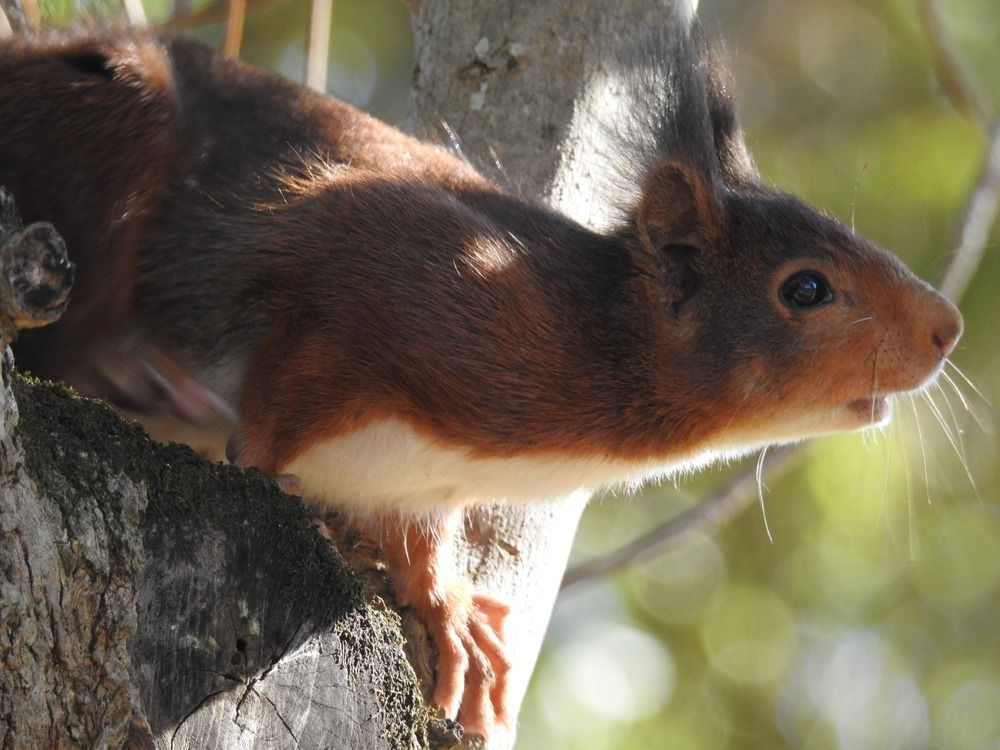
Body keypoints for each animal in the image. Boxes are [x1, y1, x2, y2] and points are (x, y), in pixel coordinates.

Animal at [0, 16, 962, 741]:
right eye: (806, 289)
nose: (949, 328)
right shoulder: (375, 264)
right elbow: (282, 394)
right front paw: (266, 462)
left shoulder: (417, 474)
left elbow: (422, 535)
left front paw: (451, 614)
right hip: (110, 124)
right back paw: (131, 373)